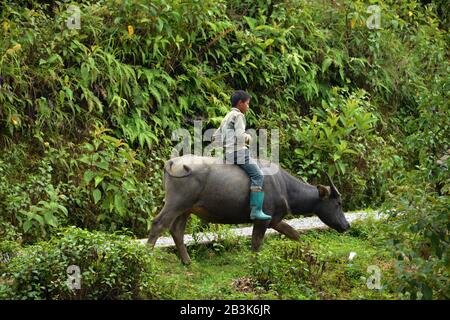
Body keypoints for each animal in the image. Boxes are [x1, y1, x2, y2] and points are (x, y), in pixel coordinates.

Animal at [148, 154, 352, 264]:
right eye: (338, 204)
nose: (346, 225)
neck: (284, 187)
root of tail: (172, 162)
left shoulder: (274, 220)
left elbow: (294, 234)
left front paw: (309, 254)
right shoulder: (262, 220)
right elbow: (256, 243)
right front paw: (255, 264)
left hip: (186, 209)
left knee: (176, 230)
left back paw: (187, 261)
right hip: (176, 203)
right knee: (158, 224)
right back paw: (147, 257)